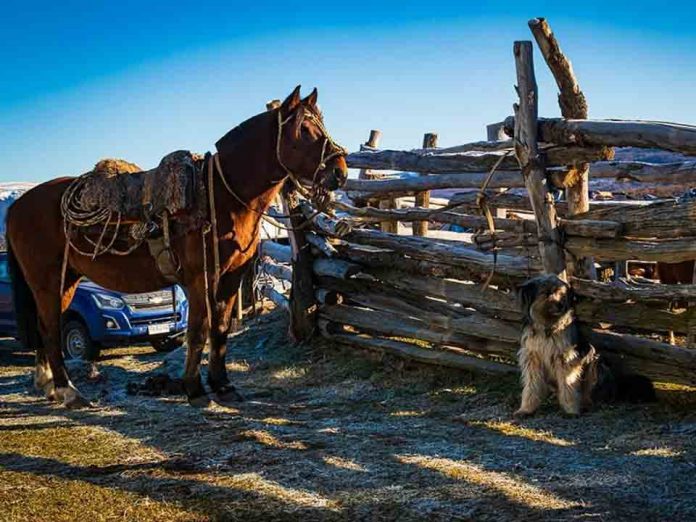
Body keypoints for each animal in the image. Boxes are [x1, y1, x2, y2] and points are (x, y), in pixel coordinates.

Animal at [6, 86, 348, 406]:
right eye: (304, 129)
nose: (340, 172)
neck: (221, 196)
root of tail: (16, 207)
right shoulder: (199, 279)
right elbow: (198, 330)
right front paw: (194, 389)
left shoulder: (230, 278)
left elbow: (221, 329)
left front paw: (222, 386)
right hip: (49, 282)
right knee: (50, 329)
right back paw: (68, 390)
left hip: (65, 281)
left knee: (44, 327)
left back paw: (49, 385)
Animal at [512, 274, 656, 416]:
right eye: (547, 293)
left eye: (561, 292)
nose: (561, 305)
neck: (546, 326)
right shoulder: (532, 357)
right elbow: (531, 385)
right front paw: (526, 409)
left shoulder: (565, 356)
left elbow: (568, 384)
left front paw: (571, 410)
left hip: (596, 363)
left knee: (590, 393)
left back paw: (586, 404)